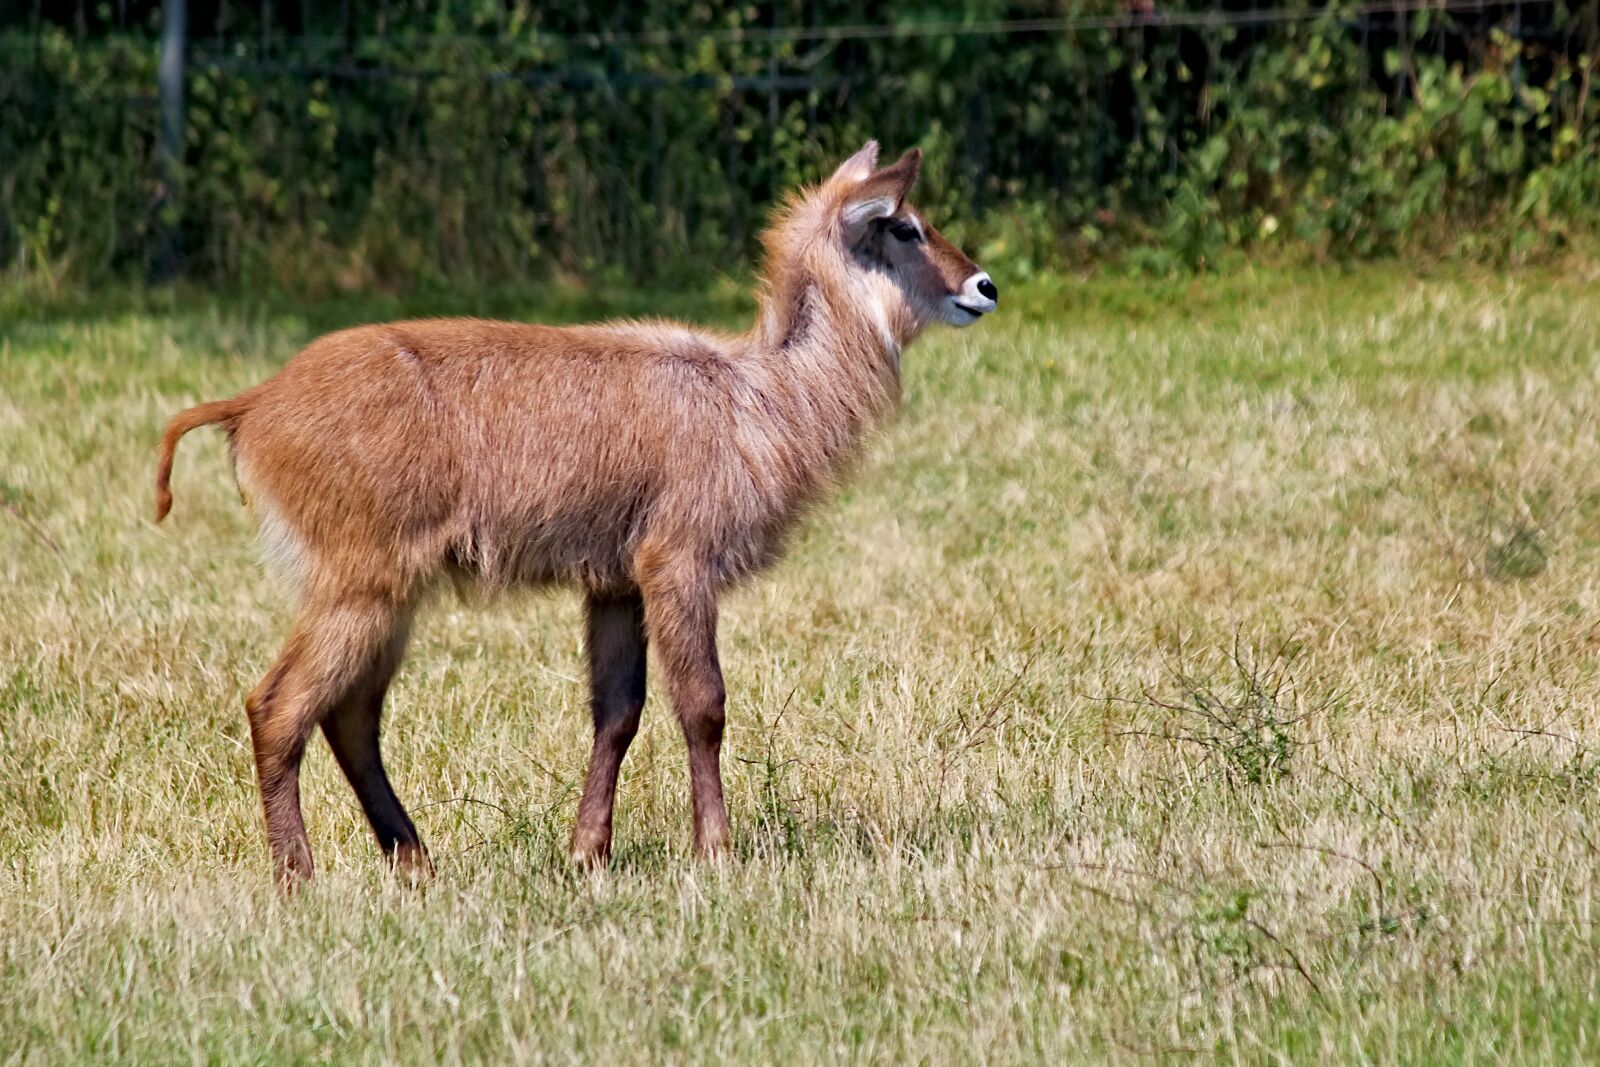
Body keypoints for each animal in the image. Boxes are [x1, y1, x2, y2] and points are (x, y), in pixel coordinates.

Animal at [155, 141, 998, 884]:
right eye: (904, 225)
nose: (985, 285)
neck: (761, 396)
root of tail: (255, 402)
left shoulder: (614, 583)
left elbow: (616, 712)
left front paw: (588, 851)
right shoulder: (678, 561)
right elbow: (704, 704)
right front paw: (716, 851)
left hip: (387, 593)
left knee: (350, 715)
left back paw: (417, 862)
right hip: (361, 583)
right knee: (278, 705)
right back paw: (298, 875)